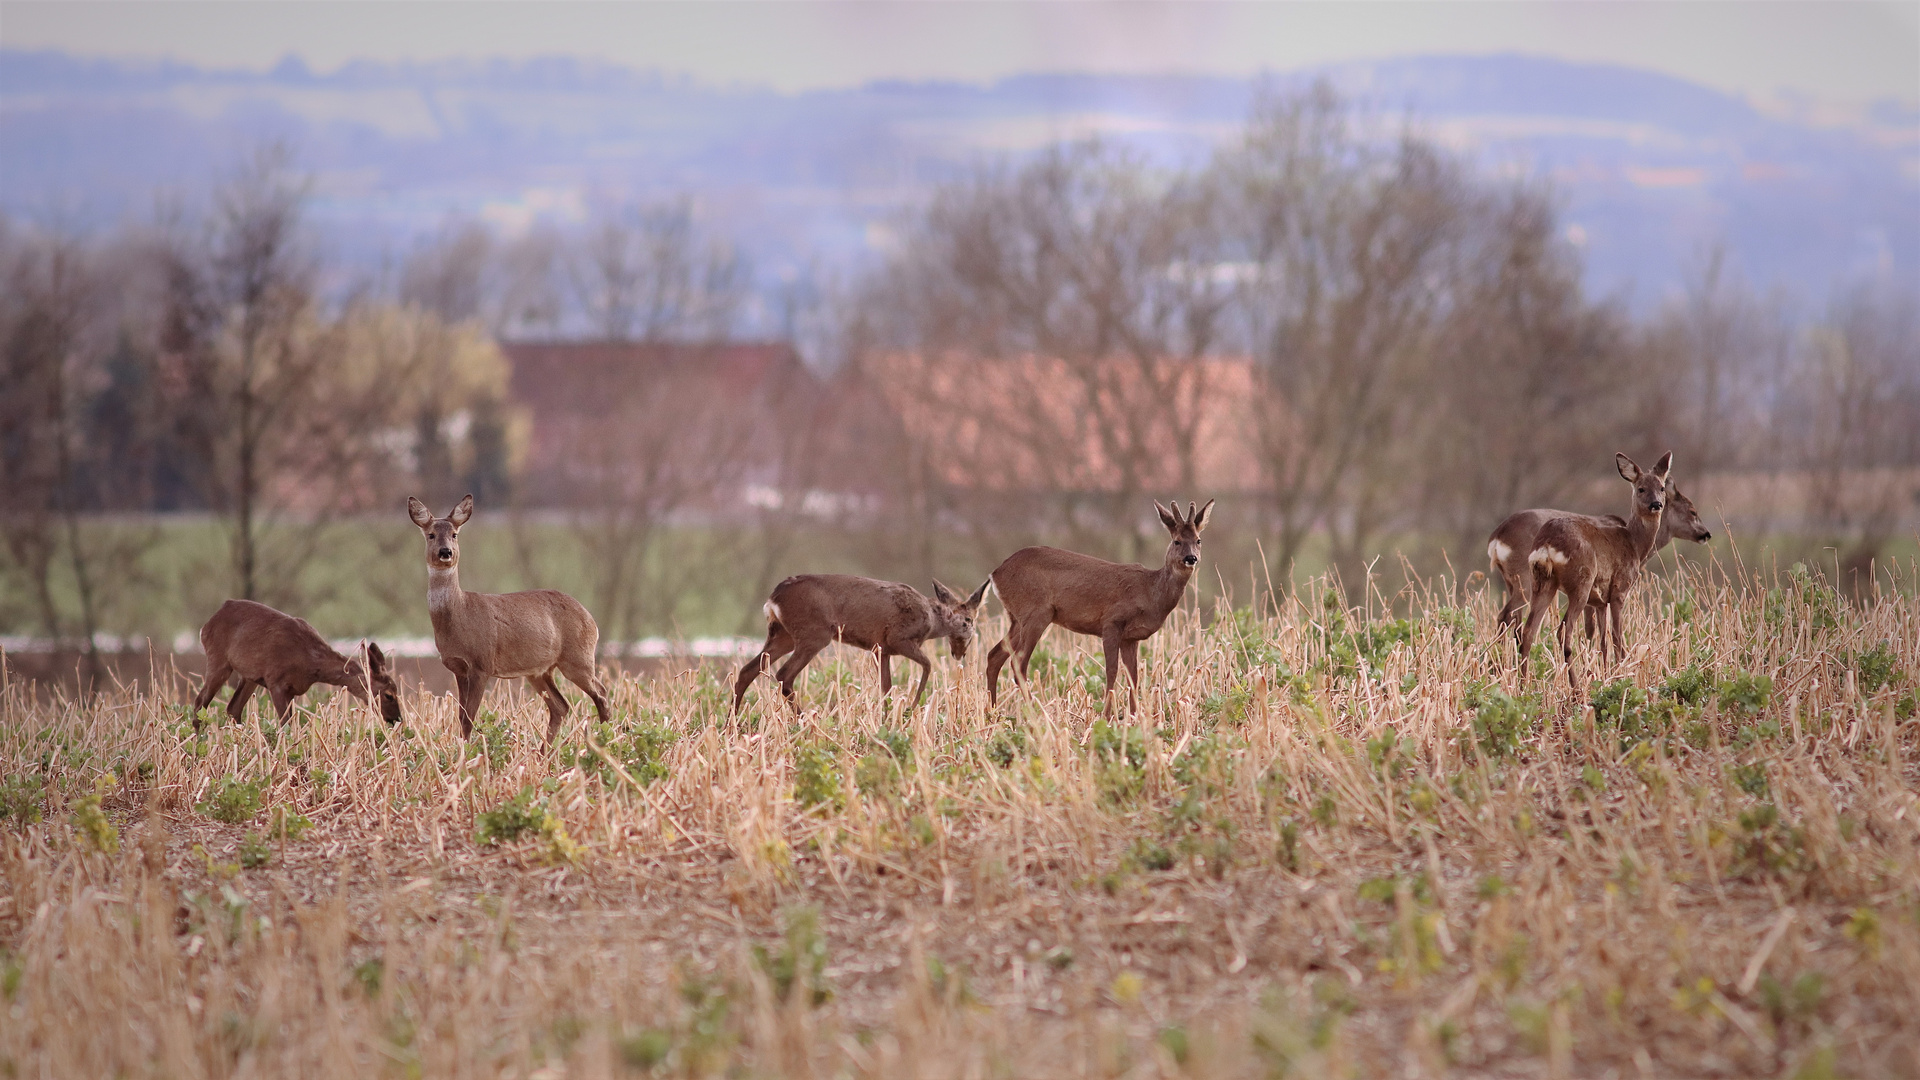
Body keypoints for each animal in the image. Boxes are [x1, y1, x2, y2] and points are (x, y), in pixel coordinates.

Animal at [407, 495, 610, 737]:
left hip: (578, 658)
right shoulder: (458, 668)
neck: (459, 614)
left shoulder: (482, 663)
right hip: (540, 670)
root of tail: (591, 620)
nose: (445, 552)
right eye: (431, 534)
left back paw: (607, 736)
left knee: (601, 693)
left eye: (454, 534)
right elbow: (460, 716)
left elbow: (469, 718)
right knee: (560, 706)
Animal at [725, 572, 983, 714]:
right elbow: (928, 665)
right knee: (783, 675)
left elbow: (886, 686)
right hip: (814, 633)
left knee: (748, 669)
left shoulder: (881, 649)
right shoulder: (899, 639)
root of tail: (773, 598)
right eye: (969, 620)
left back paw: (732, 724)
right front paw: (911, 707)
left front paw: (887, 718)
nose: (961, 652)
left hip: (783, 635)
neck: (931, 619)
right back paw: (805, 721)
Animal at [990, 499, 1213, 714]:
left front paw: (1135, 716)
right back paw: (1038, 714)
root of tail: (995, 574)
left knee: (994, 655)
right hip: (1036, 613)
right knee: (1018, 663)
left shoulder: (1131, 638)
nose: (1191, 558)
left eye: (1198, 540)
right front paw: (1105, 715)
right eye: (1177, 541)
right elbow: (1112, 670)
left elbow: (1133, 675)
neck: (1150, 593)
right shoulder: (1111, 621)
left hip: (1017, 618)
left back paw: (992, 711)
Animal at [1489, 484, 1720, 641]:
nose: (1706, 533)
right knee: (1506, 615)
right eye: (1692, 510)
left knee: (1512, 619)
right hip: (1524, 579)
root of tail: (1496, 537)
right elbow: (1591, 629)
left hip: (1512, 581)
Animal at [1520, 449, 1674, 684]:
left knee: (1528, 632)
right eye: (1641, 488)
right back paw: (1575, 687)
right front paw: (1621, 675)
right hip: (1581, 581)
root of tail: (1545, 545)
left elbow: (1603, 642)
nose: (1656, 504)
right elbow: (1618, 636)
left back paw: (1522, 685)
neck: (1635, 544)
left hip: (1541, 582)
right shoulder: (1619, 589)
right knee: (1564, 632)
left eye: (1662, 488)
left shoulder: (1600, 601)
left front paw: (1607, 675)